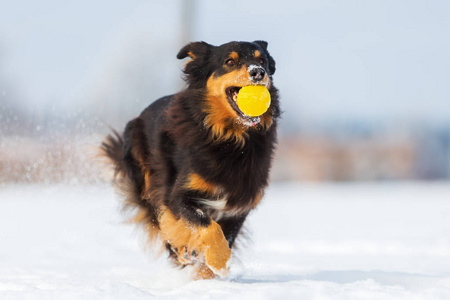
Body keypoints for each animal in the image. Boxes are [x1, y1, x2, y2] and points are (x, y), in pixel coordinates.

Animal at [100, 39, 280, 278]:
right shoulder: (177, 196)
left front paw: (208, 274)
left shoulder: (240, 204)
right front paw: (219, 261)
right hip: (148, 179)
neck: (232, 139)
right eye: (229, 62)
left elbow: (226, 236)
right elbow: (207, 226)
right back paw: (182, 252)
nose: (258, 72)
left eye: (262, 61)